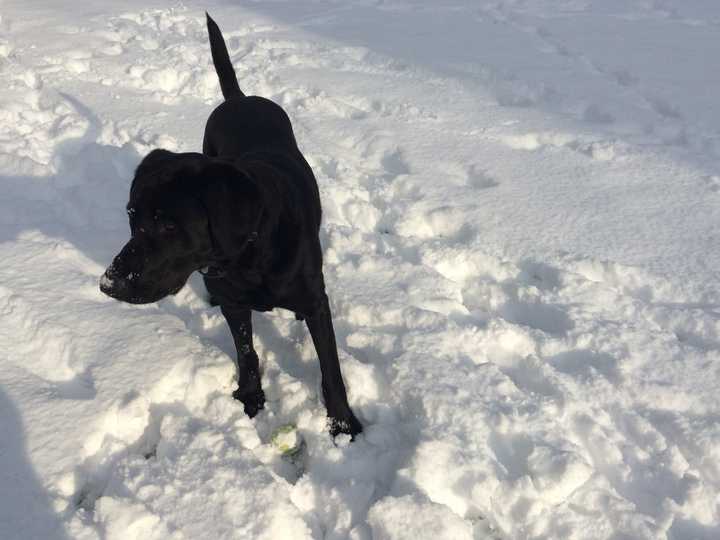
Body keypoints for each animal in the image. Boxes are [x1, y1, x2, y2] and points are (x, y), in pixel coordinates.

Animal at [101, 13, 360, 438]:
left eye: (168, 226)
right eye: (131, 216)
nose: (109, 284)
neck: (250, 252)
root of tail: (239, 98)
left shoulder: (316, 305)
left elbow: (330, 370)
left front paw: (343, 424)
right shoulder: (236, 305)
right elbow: (247, 352)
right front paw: (252, 399)